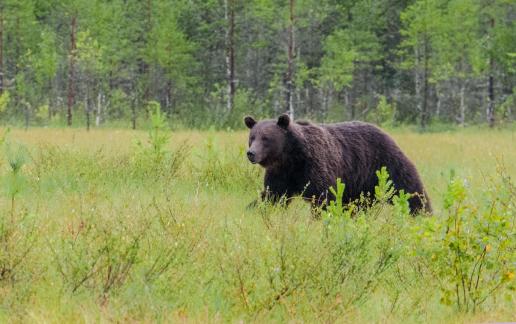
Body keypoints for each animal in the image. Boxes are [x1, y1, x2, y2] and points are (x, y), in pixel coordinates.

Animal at [245, 114, 432, 215]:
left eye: (266, 138)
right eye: (252, 137)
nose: (251, 153)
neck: (291, 157)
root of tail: (386, 133)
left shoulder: (315, 166)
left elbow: (323, 197)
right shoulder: (281, 174)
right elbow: (272, 196)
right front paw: (254, 209)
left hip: (384, 164)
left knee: (409, 188)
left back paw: (422, 212)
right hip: (360, 184)